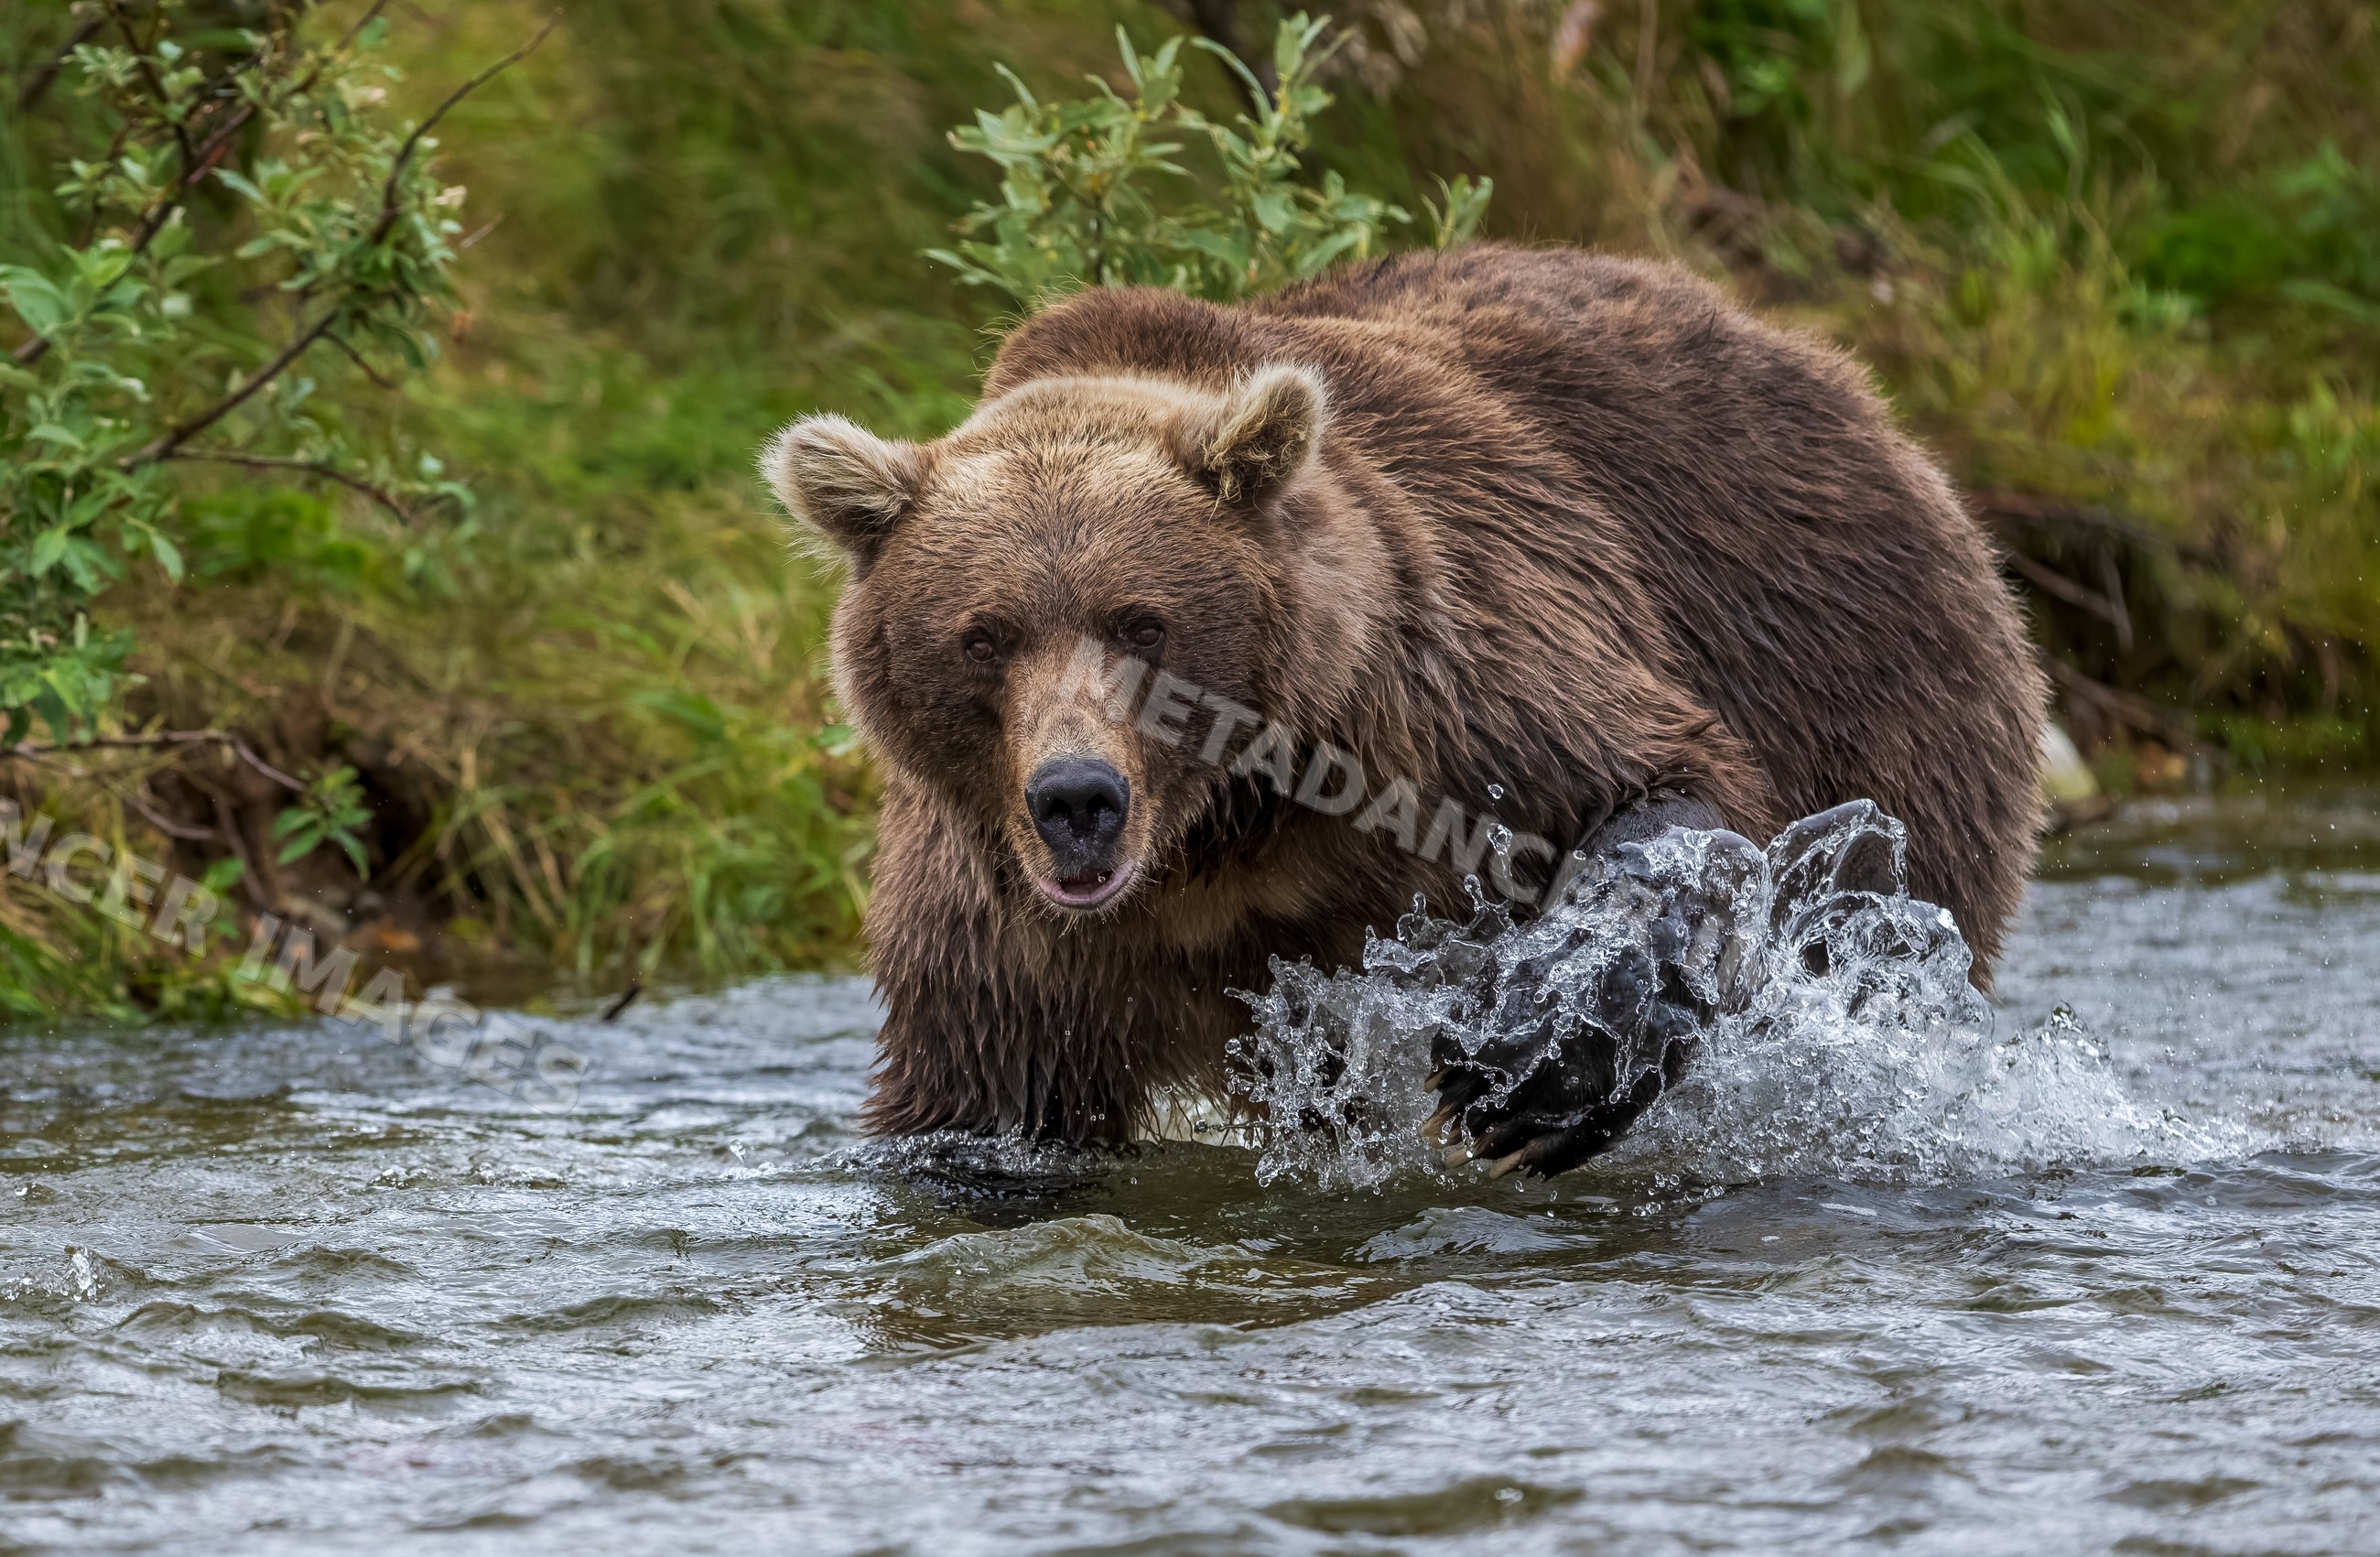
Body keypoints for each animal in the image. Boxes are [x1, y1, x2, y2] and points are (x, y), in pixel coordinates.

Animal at [762, 243, 2046, 1176]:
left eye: (1141, 622)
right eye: (984, 636)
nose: (1076, 798)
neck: (1223, 843)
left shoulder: (1454, 694)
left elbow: (1658, 782)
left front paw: (1531, 1072)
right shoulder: (1006, 927)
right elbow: (984, 1110)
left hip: (1874, 689)